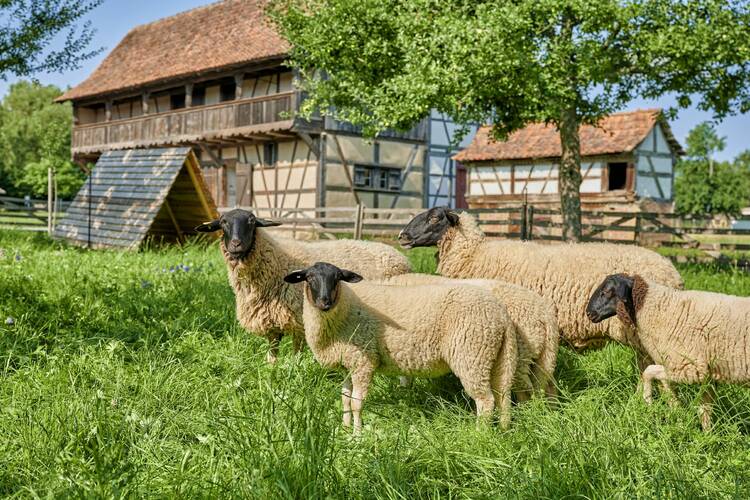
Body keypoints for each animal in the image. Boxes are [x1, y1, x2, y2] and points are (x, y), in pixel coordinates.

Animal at [195, 209, 412, 362]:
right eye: (223, 222)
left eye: (251, 221)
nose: (236, 244)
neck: (275, 259)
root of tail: (398, 255)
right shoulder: (270, 319)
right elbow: (272, 352)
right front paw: (272, 368)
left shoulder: (297, 318)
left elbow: (296, 351)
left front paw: (295, 368)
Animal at [284, 260, 520, 432]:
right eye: (309, 278)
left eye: (337, 278)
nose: (324, 302)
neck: (344, 310)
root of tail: (502, 314)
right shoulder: (348, 362)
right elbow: (345, 398)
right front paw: (344, 427)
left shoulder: (363, 361)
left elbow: (356, 403)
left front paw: (357, 435)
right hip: (497, 357)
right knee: (503, 396)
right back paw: (503, 431)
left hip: (472, 356)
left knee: (486, 401)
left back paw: (480, 434)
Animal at [384, 272, 560, 400]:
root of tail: (545, 315)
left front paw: (404, 390)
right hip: (543, 357)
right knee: (548, 386)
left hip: (521, 355)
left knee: (526, 389)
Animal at [588, 274, 750, 430]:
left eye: (606, 291)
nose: (588, 313)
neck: (660, 308)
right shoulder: (707, 374)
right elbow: (705, 410)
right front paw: (707, 434)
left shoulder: (686, 367)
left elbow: (648, 371)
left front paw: (647, 400)